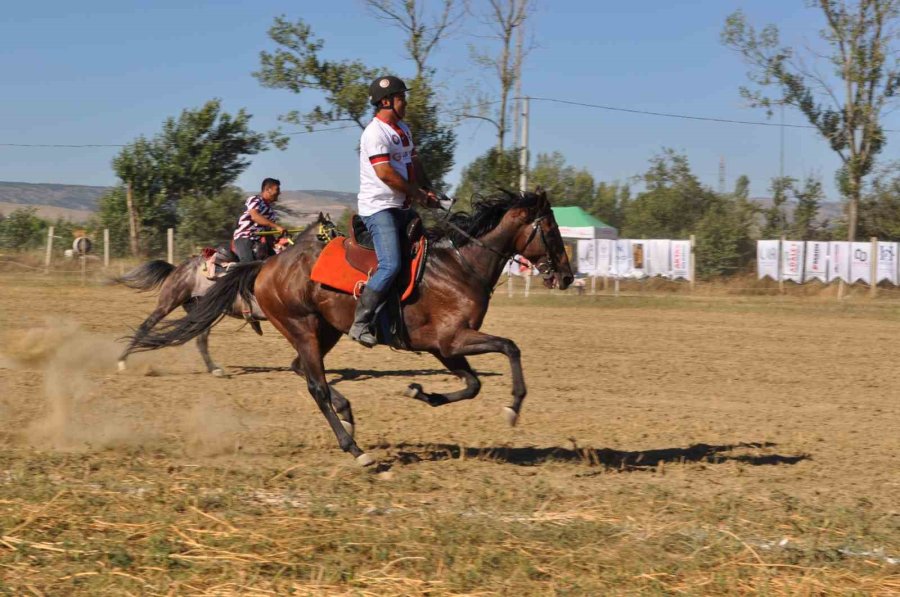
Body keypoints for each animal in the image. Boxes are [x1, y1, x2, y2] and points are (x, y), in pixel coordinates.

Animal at [128, 189, 568, 464]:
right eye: (551, 229)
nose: (565, 276)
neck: (459, 266)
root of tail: (264, 266)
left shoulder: (443, 347)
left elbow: (473, 384)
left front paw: (421, 393)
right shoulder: (452, 339)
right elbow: (510, 346)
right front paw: (512, 408)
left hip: (324, 331)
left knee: (299, 369)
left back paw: (348, 414)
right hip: (300, 327)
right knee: (315, 386)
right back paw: (355, 449)